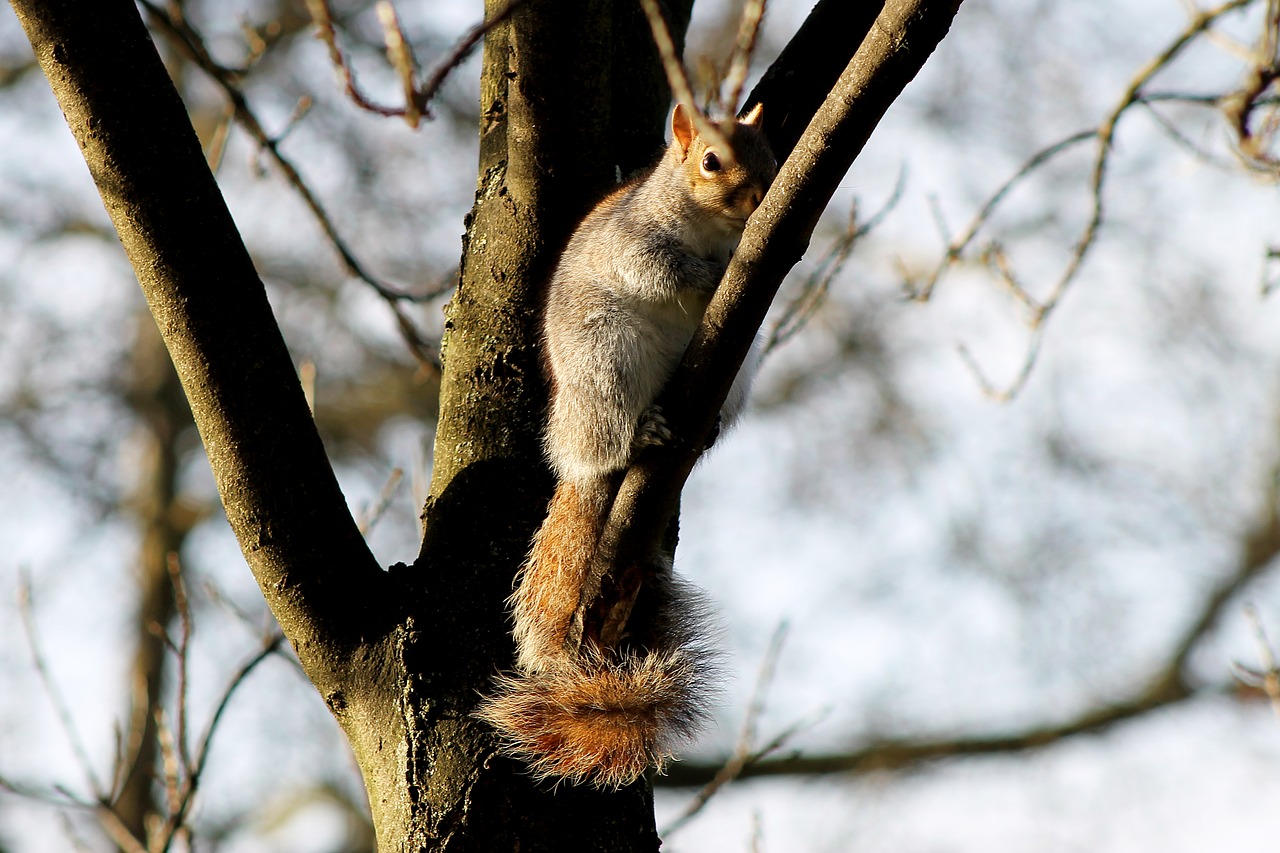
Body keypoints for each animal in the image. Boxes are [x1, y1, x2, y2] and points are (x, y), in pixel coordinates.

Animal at [481, 103, 773, 788]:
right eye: (710, 161)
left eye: (772, 153)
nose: (758, 198)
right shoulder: (634, 237)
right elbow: (656, 267)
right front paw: (707, 274)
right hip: (606, 358)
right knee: (608, 440)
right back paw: (638, 433)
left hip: (733, 377)